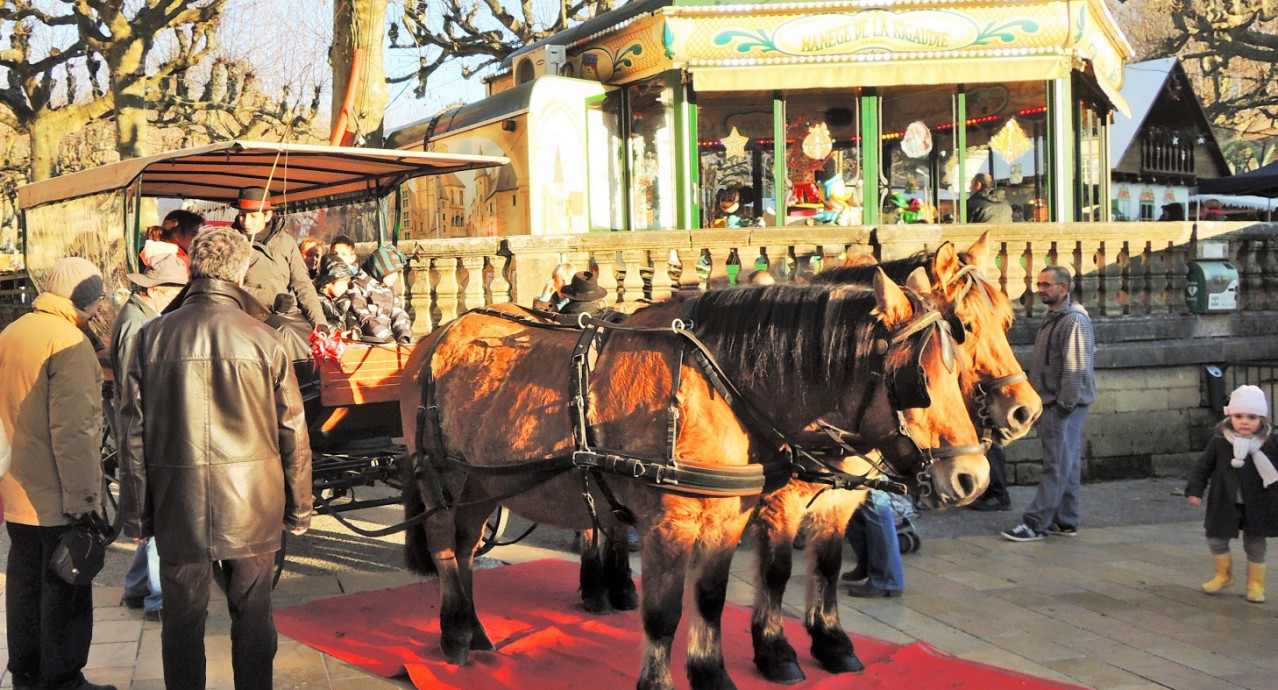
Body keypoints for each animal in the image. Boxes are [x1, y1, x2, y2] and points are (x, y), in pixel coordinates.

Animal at [401, 272, 986, 690]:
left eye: (959, 369)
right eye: (920, 380)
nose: (972, 476)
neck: (715, 387)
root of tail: (438, 336)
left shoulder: (731, 517)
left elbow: (711, 596)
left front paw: (714, 672)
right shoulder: (673, 524)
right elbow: (665, 613)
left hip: (482, 486)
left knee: (467, 548)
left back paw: (475, 628)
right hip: (443, 482)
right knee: (447, 550)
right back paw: (455, 634)